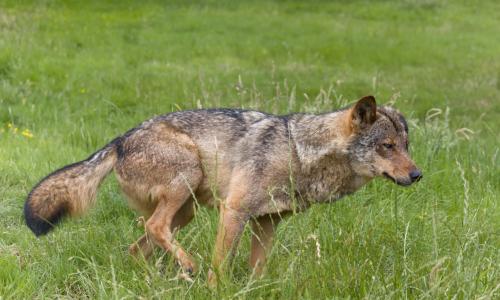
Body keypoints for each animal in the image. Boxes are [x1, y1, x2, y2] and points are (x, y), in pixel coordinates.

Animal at [24, 95, 422, 284]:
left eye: (406, 145)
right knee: (154, 228)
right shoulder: (235, 211)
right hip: (186, 182)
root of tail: (120, 140)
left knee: (138, 247)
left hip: (186, 211)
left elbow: (257, 269)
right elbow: (220, 264)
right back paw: (187, 265)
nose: (417, 175)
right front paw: (216, 289)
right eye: (387, 147)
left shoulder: (267, 223)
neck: (298, 153)